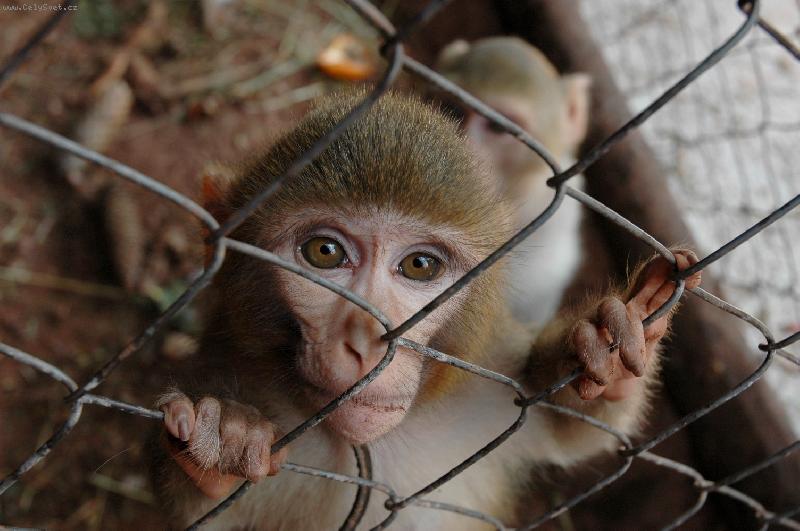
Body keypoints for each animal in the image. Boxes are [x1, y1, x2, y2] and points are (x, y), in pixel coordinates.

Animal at [152, 90, 701, 530]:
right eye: (324, 252)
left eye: (420, 265)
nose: (368, 342)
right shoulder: (221, 364)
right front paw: (226, 440)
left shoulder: (489, 379)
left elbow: (569, 431)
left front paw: (608, 344)